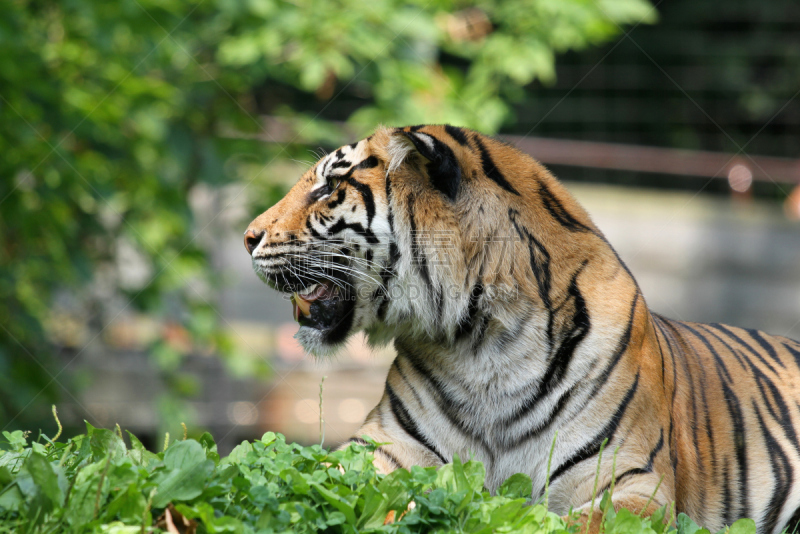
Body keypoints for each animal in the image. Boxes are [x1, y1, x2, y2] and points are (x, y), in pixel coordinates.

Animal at [244, 125, 800, 534]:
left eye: (328, 187)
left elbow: (570, 524)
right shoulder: (378, 454)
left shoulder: (631, 484)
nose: (247, 238)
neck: (481, 345)